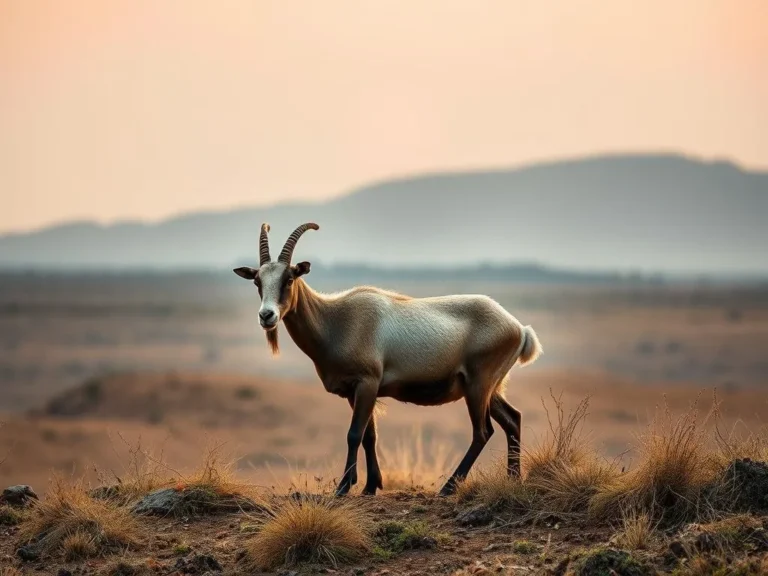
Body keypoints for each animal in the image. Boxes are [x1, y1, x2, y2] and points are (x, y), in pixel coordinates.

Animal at [231, 223, 544, 498]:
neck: (335, 319)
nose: (267, 316)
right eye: (258, 281)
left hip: (478, 387)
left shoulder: (367, 384)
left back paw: (448, 488)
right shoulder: (355, 391)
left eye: (289, 278)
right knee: (512, 419)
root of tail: (519, 329)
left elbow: (354, 434)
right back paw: (512, 480)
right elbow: (370, 436)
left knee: (482, 431)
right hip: (489, 389)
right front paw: (370, 487)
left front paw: (344, 488)